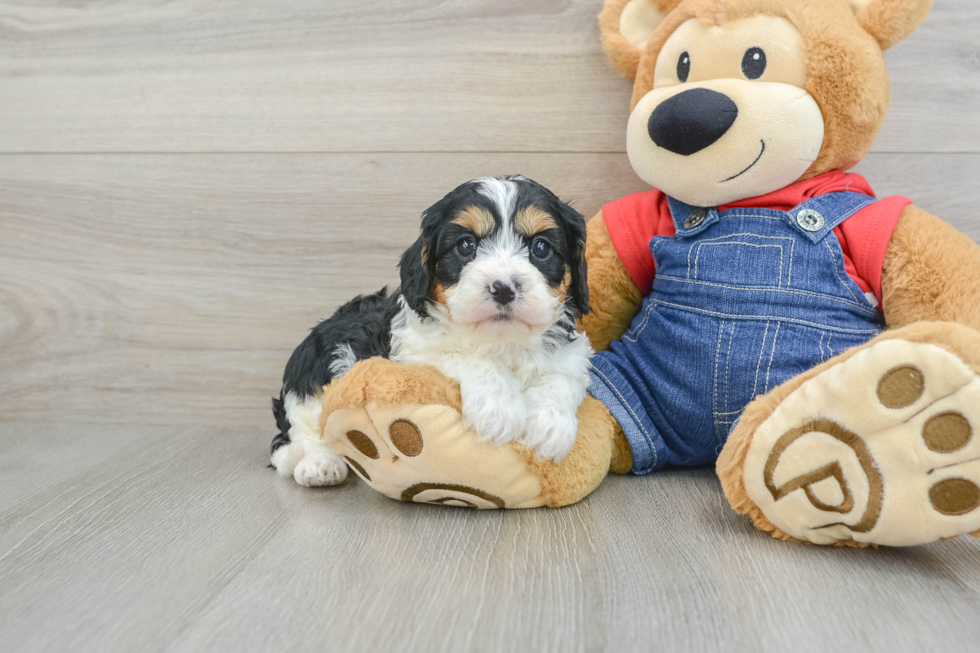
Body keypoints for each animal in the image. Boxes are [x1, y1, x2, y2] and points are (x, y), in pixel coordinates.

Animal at [268, 176, 592, 486]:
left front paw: (550, 426)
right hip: (315, 370)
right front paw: (497, 409)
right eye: (465, 246)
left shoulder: (571, 354)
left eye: (541, 248)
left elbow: (562, 377)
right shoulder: (414, 352)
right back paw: (320, 465)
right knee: (294, 441)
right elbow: (466, 357)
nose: (503, 288)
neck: (500, 340)